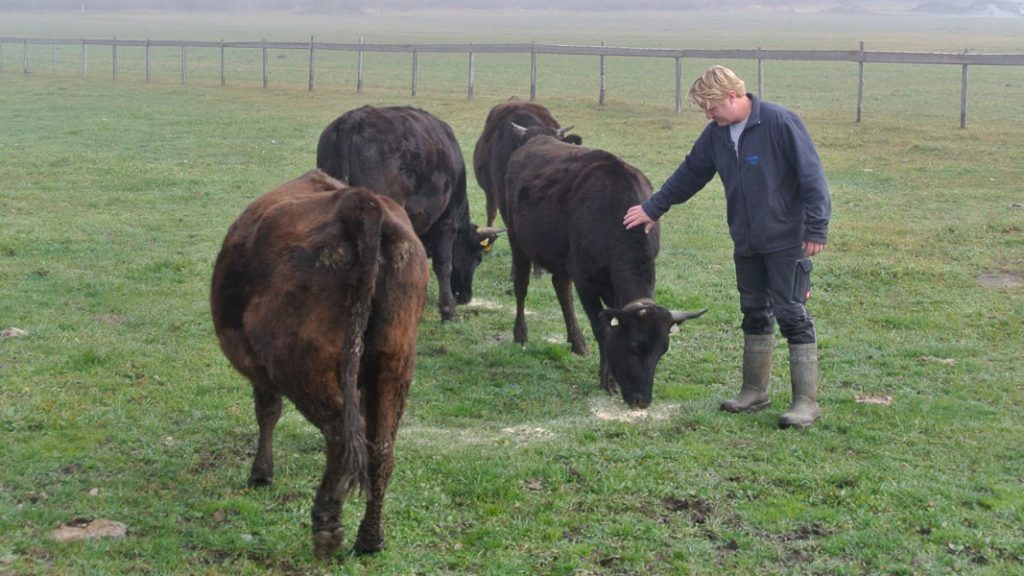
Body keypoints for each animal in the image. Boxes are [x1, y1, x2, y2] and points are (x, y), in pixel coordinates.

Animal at [211, 167, 428, 557]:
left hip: (303, 367)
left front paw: (260, 474)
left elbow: (267, 411)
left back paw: (327, 524)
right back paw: (370, 539)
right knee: (381, 448)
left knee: (340, 435)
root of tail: (360, 204)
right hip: (395, 361)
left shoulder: (262, 373)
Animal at [315, 105, 499, 319]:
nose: (465, 297)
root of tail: (354, 119)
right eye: (477, 258)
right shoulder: (446, 220)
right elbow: (443, 264)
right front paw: (448, 310)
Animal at [501, 124, 704, 407]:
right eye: (634, 346)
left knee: (561, 287)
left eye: (662, 351)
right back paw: (520, 334)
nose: (642, 400)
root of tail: (533, 140)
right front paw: (607, 380)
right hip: (517, 240)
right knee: (521, 285)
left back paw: (577, 342)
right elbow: (602, 329)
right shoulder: (585, 280)